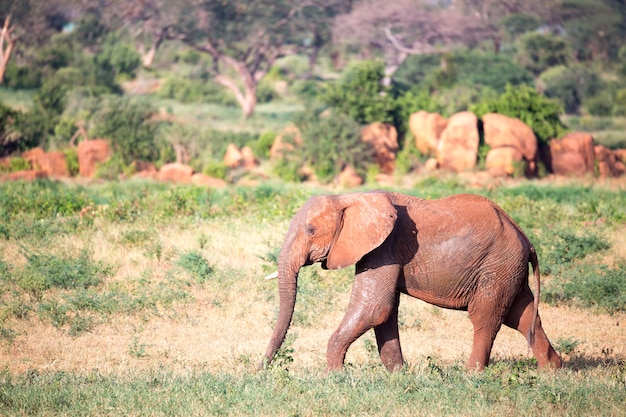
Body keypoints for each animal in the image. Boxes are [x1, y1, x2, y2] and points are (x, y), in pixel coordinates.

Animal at [258, 190, 560, 368]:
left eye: (310, 230)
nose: (262, 369)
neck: (349, 197)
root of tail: (526, 239)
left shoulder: (384, 247)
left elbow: (373, 309)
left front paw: (334, 376)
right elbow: (385, 313)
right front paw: (398, 374)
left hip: (496, 267)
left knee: (486, 317)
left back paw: (471, 374)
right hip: (507, 269)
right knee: (523, 316)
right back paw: (552, 370)